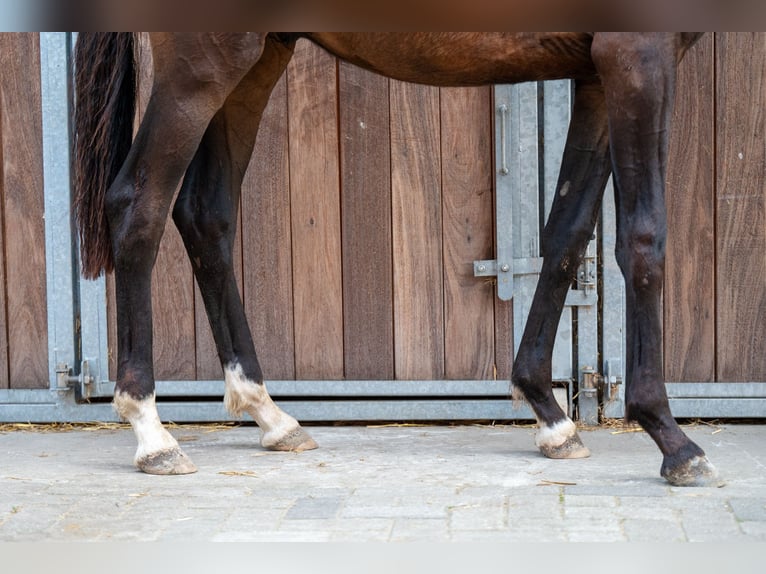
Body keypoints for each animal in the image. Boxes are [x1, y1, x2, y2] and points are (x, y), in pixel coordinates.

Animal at [70, 32, 720, 486]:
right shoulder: (636, 55)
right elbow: (643, 239)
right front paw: (673, 440)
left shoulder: (595, 74)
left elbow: (566, 233)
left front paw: (549, 415)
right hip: (200, 66)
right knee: (137, 206)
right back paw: (153, 435)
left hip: (256, 62)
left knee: (205, 215)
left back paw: (269, 414)